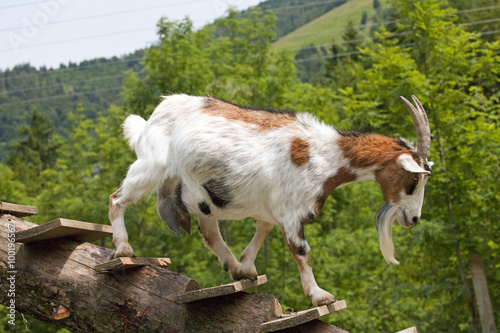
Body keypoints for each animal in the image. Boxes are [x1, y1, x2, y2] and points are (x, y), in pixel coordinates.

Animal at [109, 92, 434, 304]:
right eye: (414, 178)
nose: (414, 218)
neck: (324, 154)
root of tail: (150, 120)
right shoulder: (291, 211)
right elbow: (301, 251)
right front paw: (319, 295)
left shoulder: (270, 207)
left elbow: (262, 230)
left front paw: (246, 268)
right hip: (151, 167)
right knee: (116, 199)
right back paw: (124, 248)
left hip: (200, 196)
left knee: (209, 232)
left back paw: (231, 265)